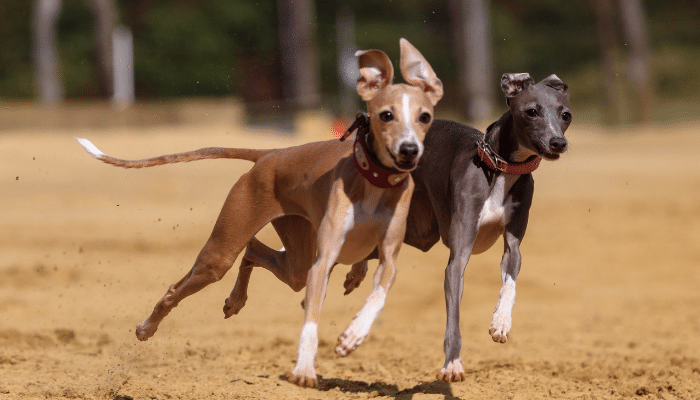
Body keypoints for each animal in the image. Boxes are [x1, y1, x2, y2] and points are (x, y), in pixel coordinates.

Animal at [78, 38, 442, 388]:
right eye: (386, 115)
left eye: (425, 117)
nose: (409, 151)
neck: (373, 179)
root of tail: (270, 154)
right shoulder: (323, 259)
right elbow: (311, 318)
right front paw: (305, 369)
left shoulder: (388, 256)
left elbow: (378, 293)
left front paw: (353, 334)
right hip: (225, 251)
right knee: (184, 285)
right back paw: (147, 327)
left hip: (296, 254)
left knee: (255, 250)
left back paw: (238, 299)